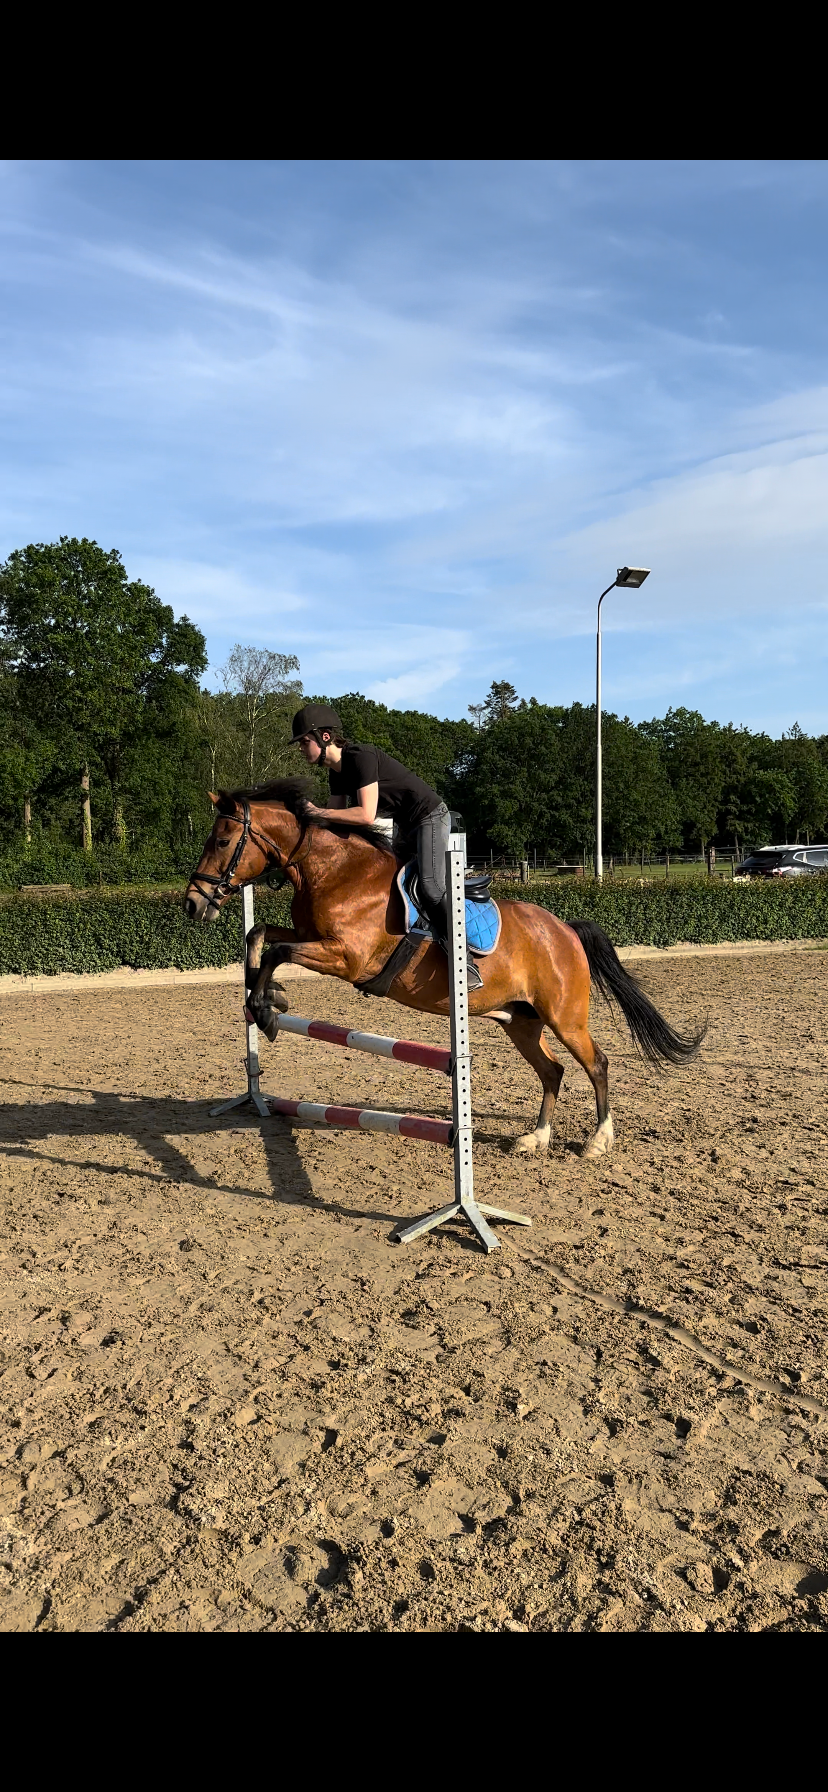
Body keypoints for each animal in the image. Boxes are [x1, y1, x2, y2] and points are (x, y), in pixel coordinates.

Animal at [185, 779, 702, 1159]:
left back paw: (598, 1140)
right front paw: (267, 997)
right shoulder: (309, 936)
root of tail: (566, 930)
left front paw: (267, 1010)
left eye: (223, 840)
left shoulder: (347, 957)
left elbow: (277, 953)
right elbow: (259, 937)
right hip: (522, 1021)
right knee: (552, 1071)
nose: (193, 904)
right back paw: (535, 1138)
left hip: (565, 1016)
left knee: (596, 1063)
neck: (335, 869)